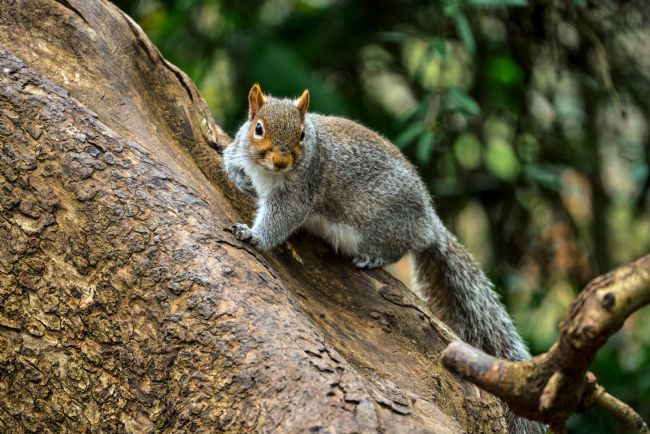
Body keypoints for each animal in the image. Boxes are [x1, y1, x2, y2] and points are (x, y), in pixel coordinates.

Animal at [224, 85, 543, 434]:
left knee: (398, 248)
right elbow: (229, 160)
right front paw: (240, 179)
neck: (267, 171)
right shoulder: (239, 148)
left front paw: (255, 236)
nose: (281, 161)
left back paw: (371, 259)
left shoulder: (299, 191)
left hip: (377, 227)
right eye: (258, 129)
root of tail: (428, 221)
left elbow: (282, 219)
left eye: (302, 134)